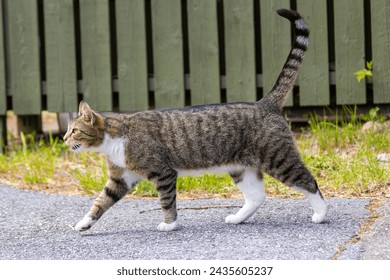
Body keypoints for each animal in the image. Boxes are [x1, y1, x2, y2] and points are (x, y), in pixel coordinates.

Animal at [64, 8, 326, 232]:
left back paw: (321, 214)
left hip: (278, 159)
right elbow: (100, 202)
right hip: (241, 168)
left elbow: (166, 201)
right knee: (257, 196)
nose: (64, 139)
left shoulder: (164, 173)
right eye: (68, 130)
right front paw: (83, 224)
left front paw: (169, 224)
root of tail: (264, 102)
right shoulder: (120, 180)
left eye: (75, 131)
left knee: (309, 181)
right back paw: (237, 218)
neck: (115, 139)